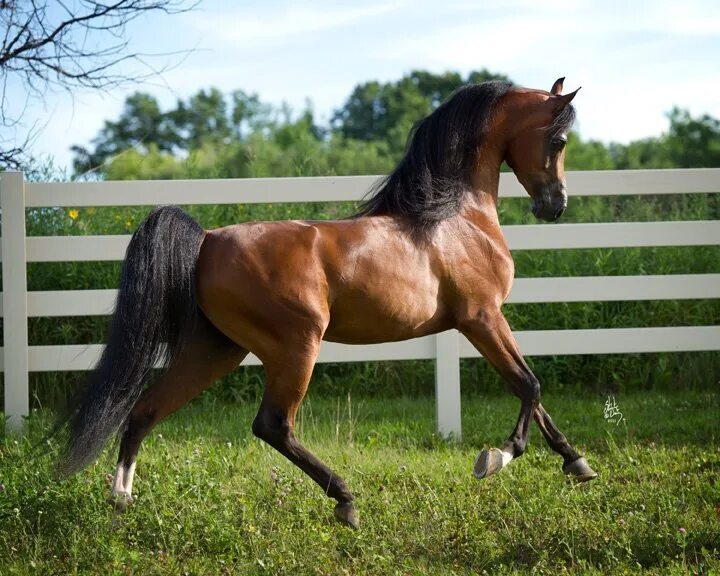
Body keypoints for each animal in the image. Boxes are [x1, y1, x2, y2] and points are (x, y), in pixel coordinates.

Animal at [59, 79, 596, 528]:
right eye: (559, 141)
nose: (556, 205)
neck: (455, 217)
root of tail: (208, 239)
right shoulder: (481, 317)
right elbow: (529, 384)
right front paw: (496, 458)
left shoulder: (482, 322)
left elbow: (532, 391)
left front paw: (577, 463)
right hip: (296, 346)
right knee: (273, 425)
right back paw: (345, 500)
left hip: (215, 350)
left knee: (145, 410)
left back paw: (121, 500)